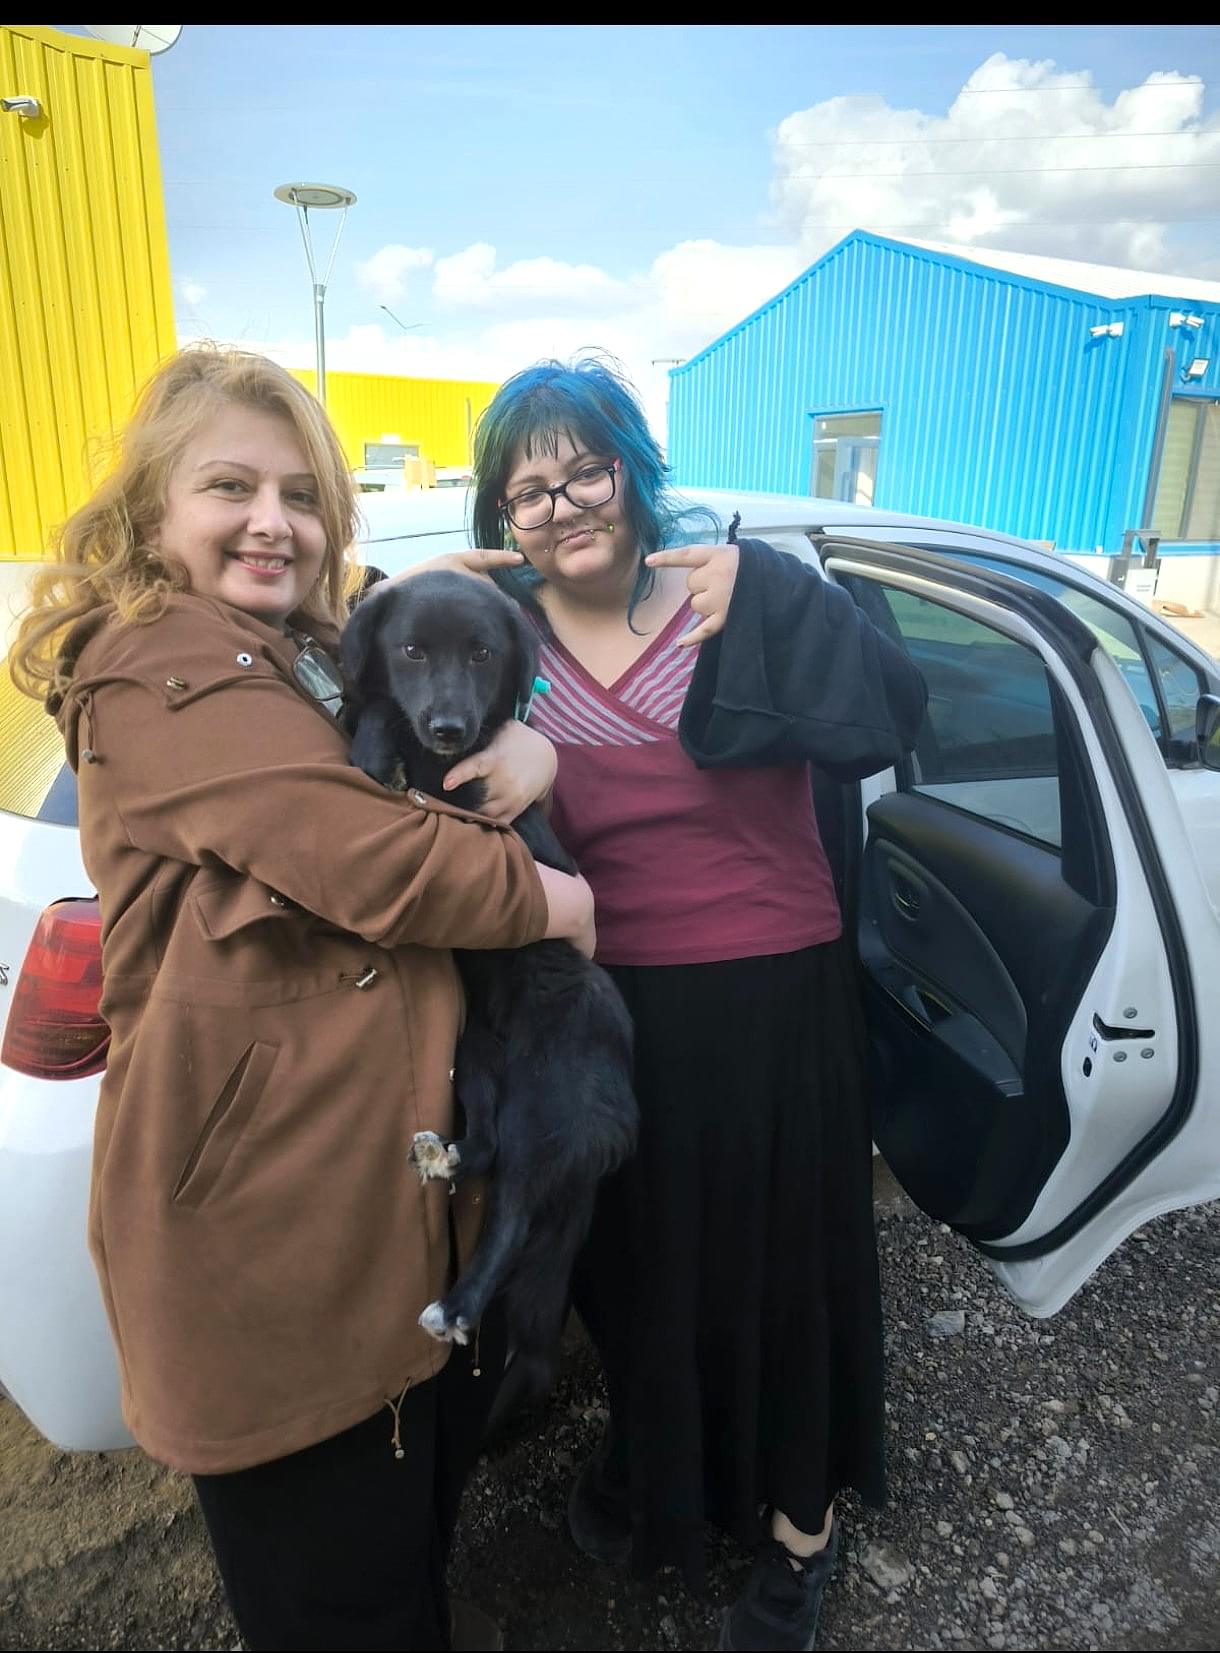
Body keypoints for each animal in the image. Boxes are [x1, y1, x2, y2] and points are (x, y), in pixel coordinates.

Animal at [340, 571, 639, 1391]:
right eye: (411, 650)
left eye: (483, 654)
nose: (446, 726)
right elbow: (380, 705)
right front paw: (373, 741)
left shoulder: (470, 805)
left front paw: (379, 751)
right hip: (476, 1059)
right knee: (488, 1148)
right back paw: (444, 1155)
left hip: (547, 1108)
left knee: (512, 1212)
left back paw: (458, 1307)